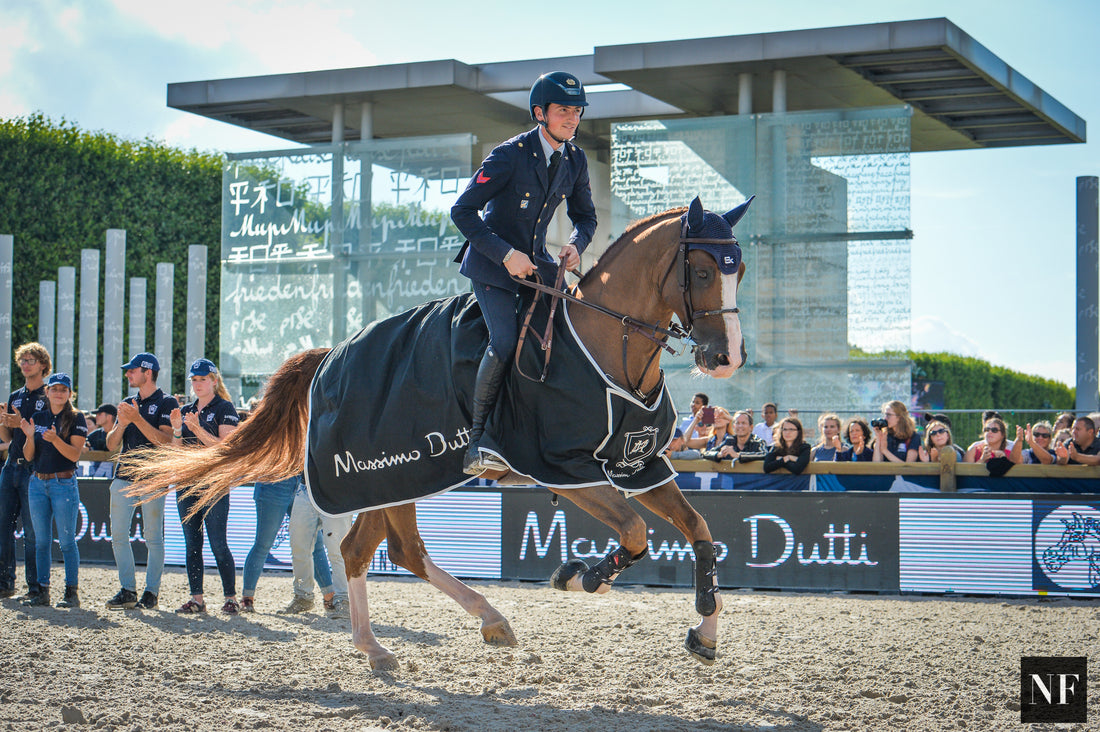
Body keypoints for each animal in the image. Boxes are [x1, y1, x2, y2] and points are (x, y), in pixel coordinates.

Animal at [124, 193, 752, 669]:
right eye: (701, 271)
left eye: (738, 270)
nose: (727, 360)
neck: (607, 347)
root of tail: (331, 356)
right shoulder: (565, 470)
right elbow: (636, 533)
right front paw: (578, 576)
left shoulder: (639, 465)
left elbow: (697, 530)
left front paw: (705, 630)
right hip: (381, 476)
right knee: (363, 552)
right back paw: (380, 648)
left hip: (396, 479)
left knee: (388, 550)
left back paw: (474, 624)